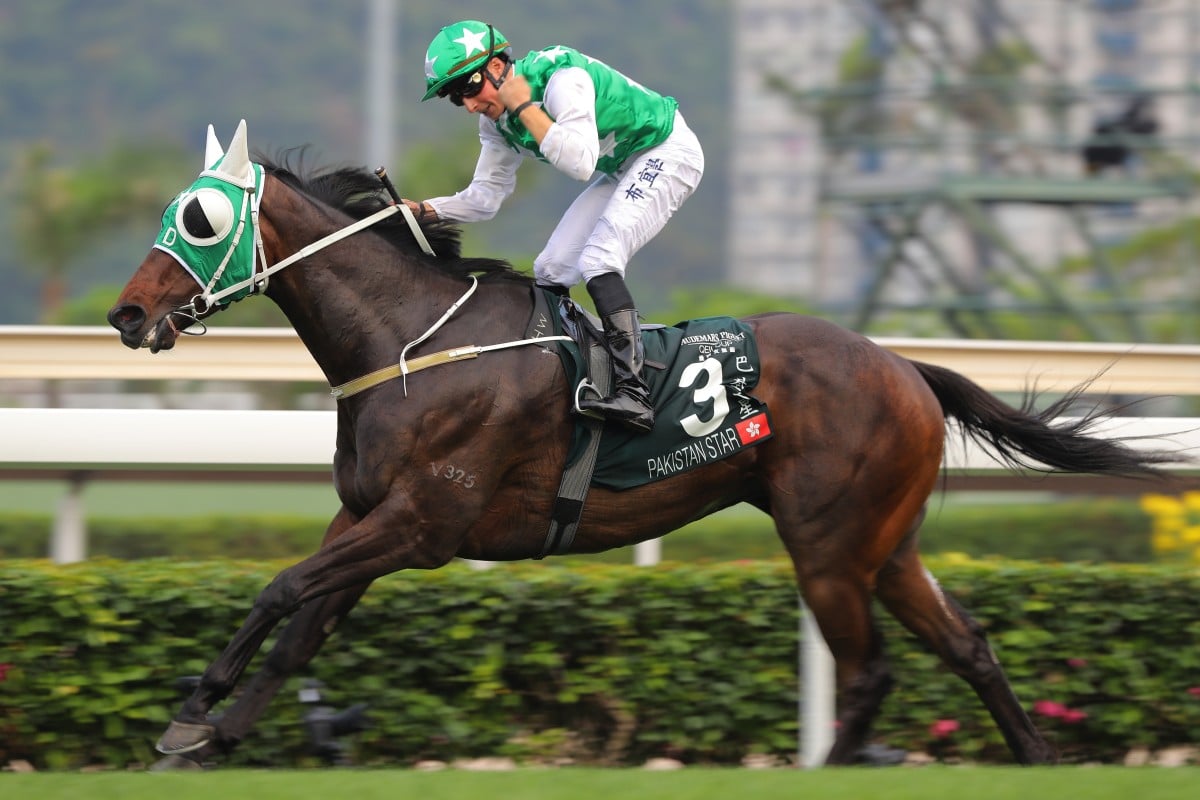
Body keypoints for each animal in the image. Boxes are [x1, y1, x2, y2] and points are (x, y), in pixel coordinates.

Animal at [108, 120, 1176, 767]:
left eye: (199, 219)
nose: (126, 315)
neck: (413, 341)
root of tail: (906, 367)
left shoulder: (423, 523)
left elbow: (282, 589)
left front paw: (196, 706)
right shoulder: (368, 519)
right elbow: (302, 626)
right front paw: (213, 729)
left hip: (829, 544)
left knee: (871, 671)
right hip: (887, 542)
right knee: (969, 645)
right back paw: (1036, 757)